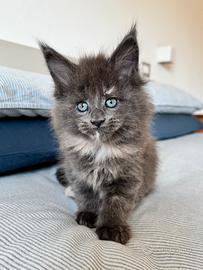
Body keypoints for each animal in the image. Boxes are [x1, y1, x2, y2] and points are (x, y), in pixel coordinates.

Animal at [39, 26, 157, 245]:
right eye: (82, 106)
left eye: (110, 102)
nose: (97, 121)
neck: (99, 148)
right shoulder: (77, 169)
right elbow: (85, 192)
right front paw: (88, 214)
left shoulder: (129, 174)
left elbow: (117, 202)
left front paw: (112, 227)